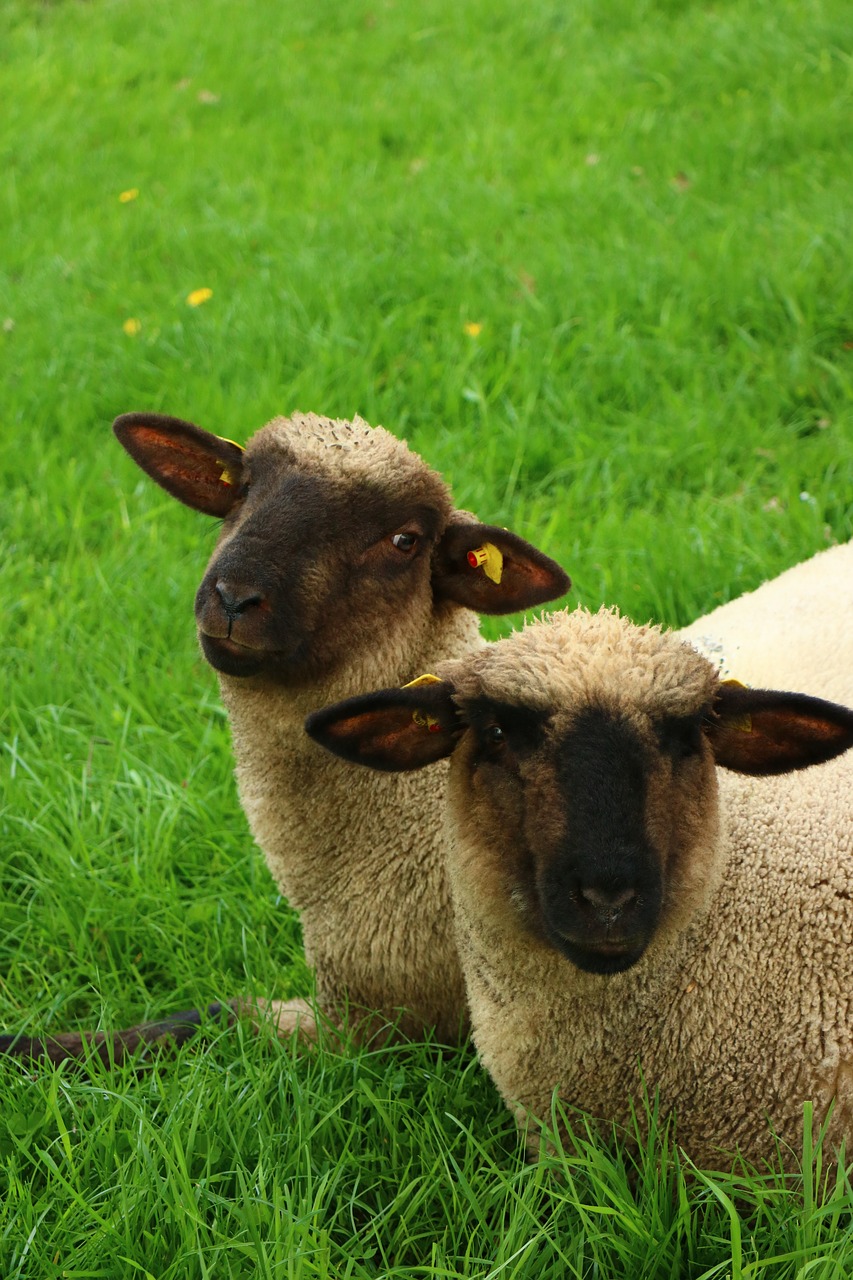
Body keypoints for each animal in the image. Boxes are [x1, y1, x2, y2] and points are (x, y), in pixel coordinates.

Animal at [1, 409, 571, 1059]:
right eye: (245, 487)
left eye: (404, 541)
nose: (233, 597)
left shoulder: (381, 1025)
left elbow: (209, 1017)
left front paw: (30, 1048)